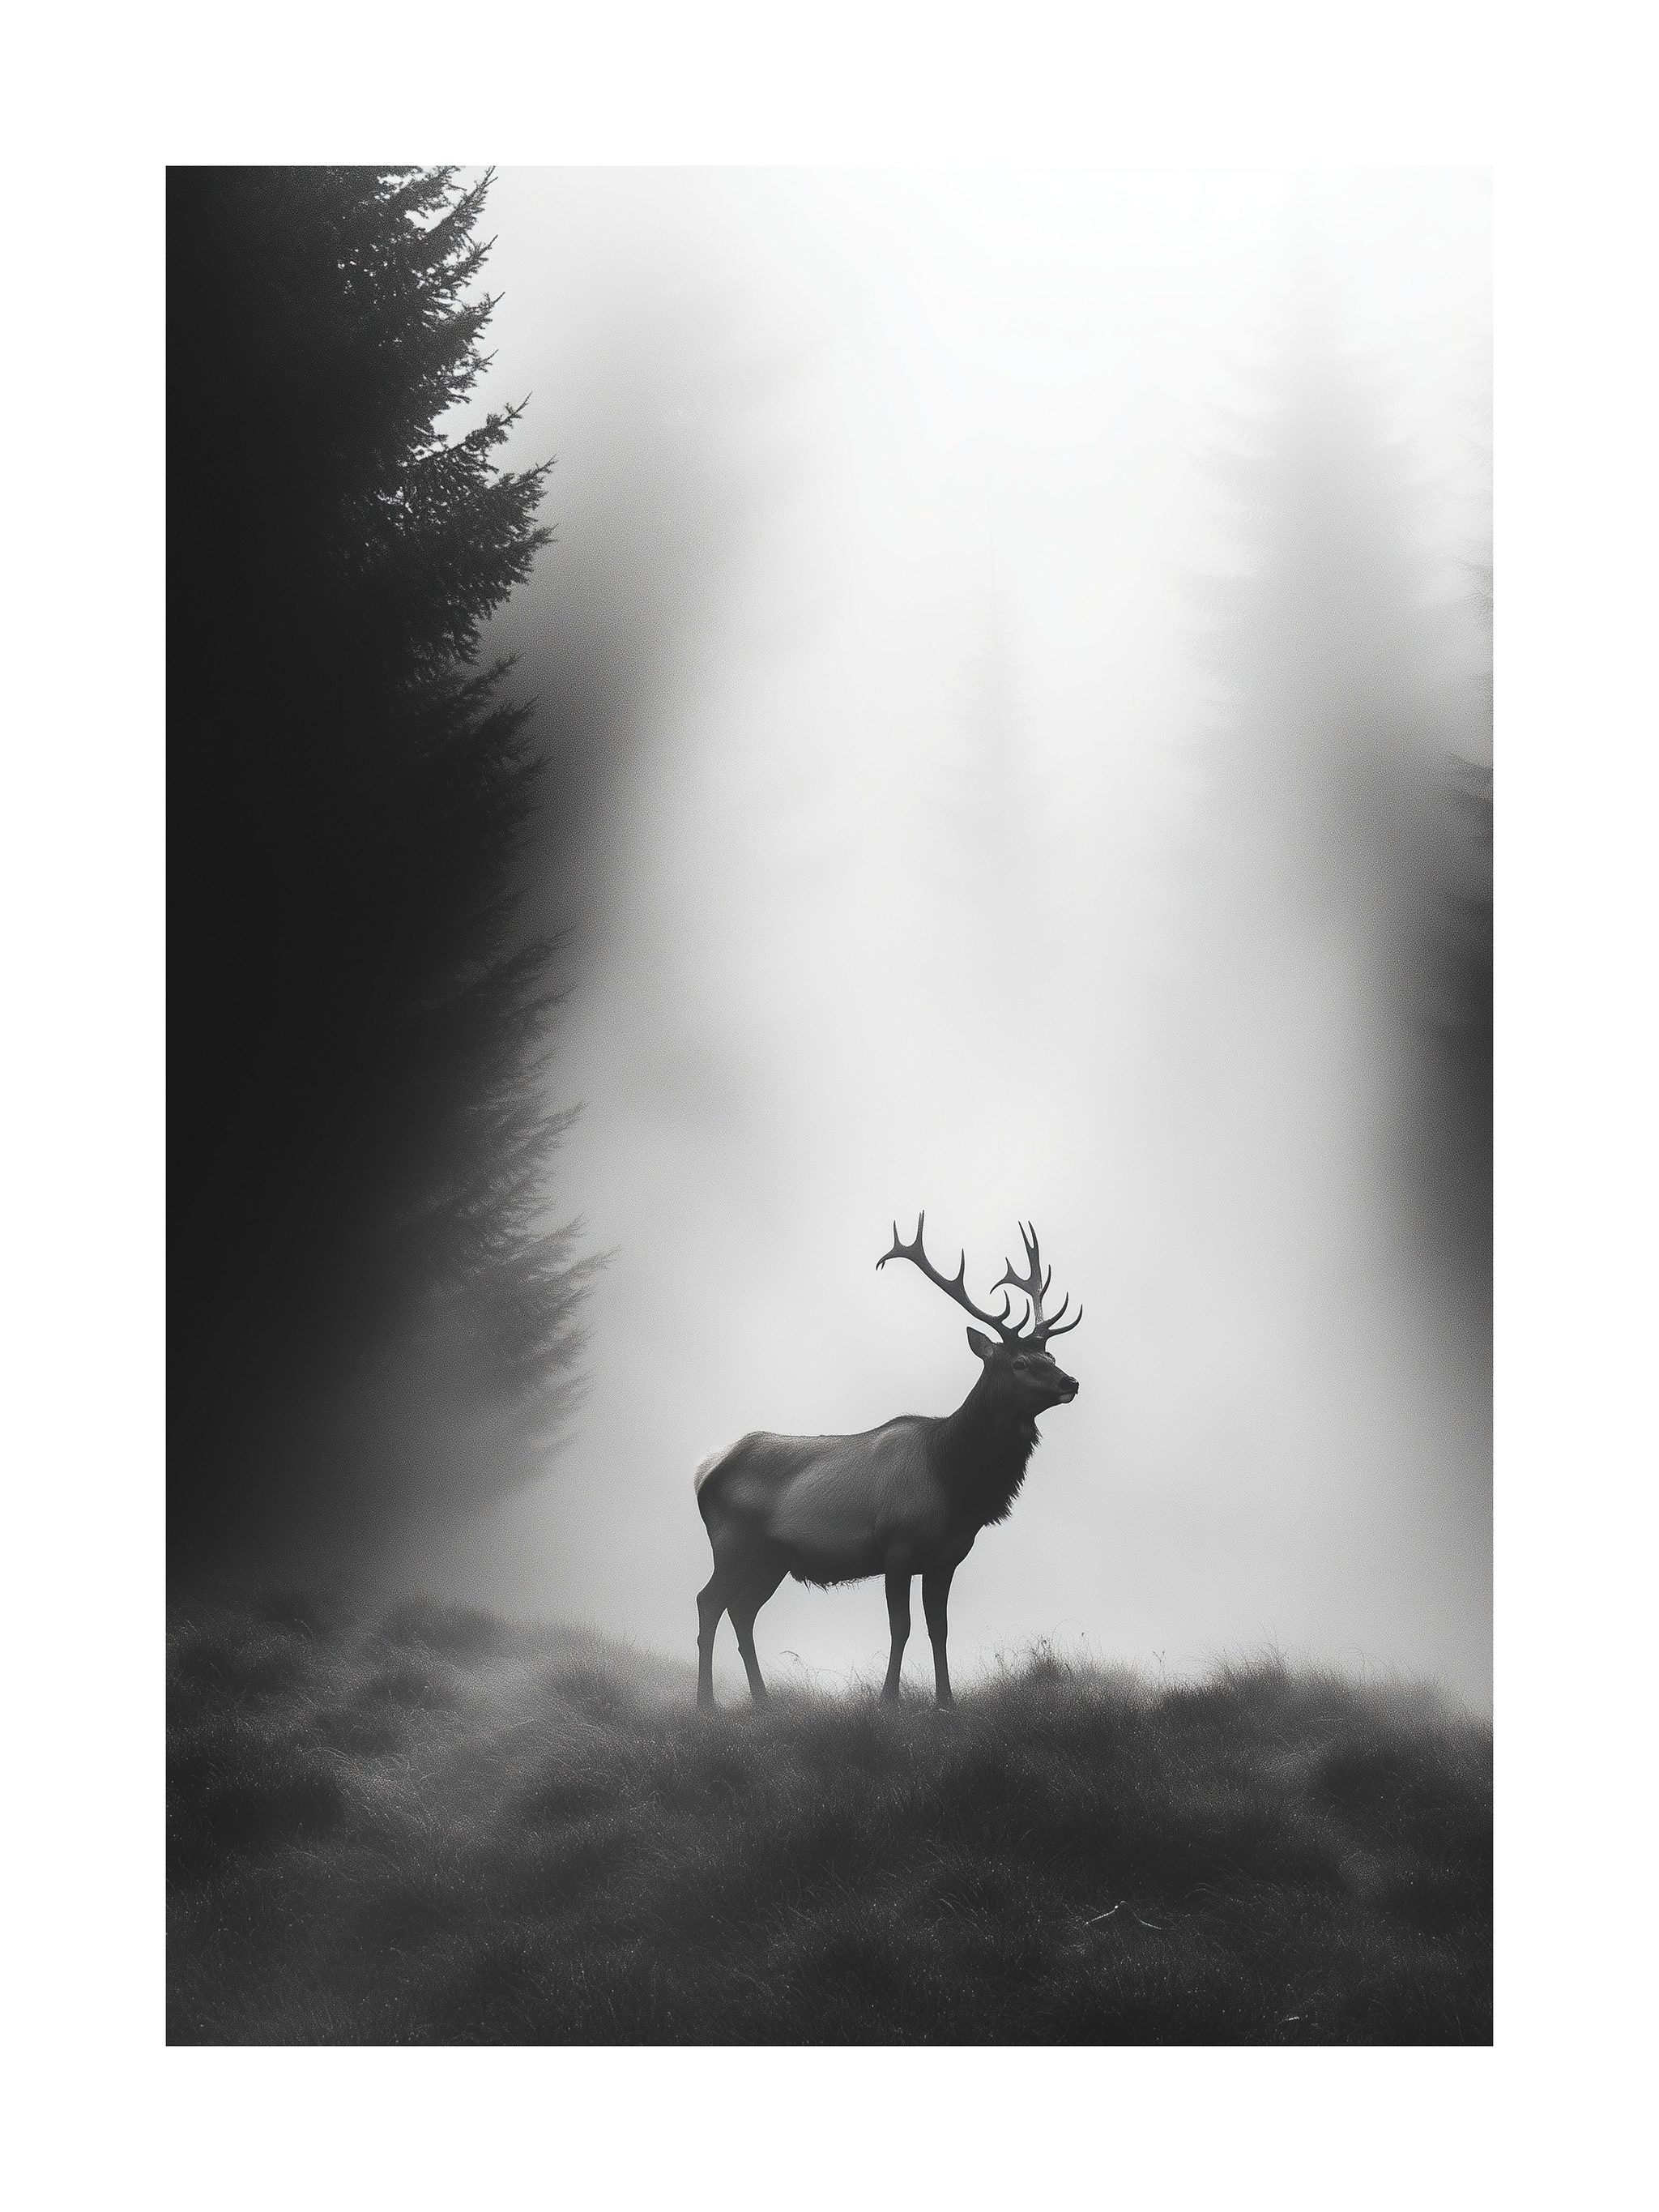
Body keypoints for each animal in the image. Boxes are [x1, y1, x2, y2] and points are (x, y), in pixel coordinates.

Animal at [694, 1215, 1081, 1711]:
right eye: (1018, 1363)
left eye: (1050, 1355)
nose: (1071, 1382)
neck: (956, 1483)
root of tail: (706, 1470)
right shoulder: (896, 1547)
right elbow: (902, 1627)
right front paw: (888, 1700)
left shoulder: (946, 1558)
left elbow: (939, 1629)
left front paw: (946, 1702)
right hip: (733, 1544)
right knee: (709, 1603)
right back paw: (706, 1704)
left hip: (771, 1558)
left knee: (742, 1612)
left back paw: (762, 1702)